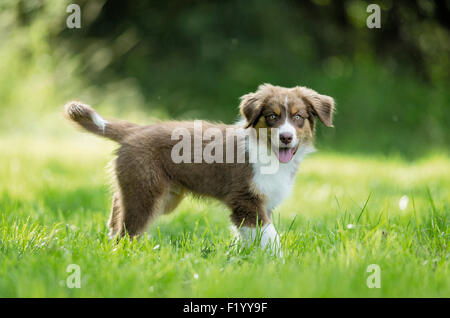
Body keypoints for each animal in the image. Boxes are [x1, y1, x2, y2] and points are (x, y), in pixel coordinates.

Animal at [65, 84, 336, 256]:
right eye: (272, 116)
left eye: (298, 117)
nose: (286, 137)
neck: (268, 152)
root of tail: (135, 130)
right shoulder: (245, 200)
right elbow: (270, 237)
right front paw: (281, 264)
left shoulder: (262, 202)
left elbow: (252, 237)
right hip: (146, 193)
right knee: (128, 230)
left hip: (160, 194)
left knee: (118, 209)